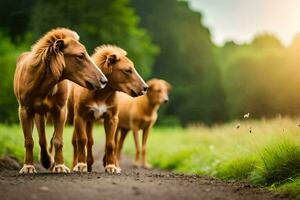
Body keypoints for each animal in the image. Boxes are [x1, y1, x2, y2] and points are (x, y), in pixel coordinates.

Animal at [14, 28, 108, 173]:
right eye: (80, 55)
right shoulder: (24, 109)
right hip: (39, 113)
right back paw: (46, 160)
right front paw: (28, 166)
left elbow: (58, 140)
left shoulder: (60, 109)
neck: (43, 85)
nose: (104, 80)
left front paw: (59, 165)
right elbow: (29, 140)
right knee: (42, 139)